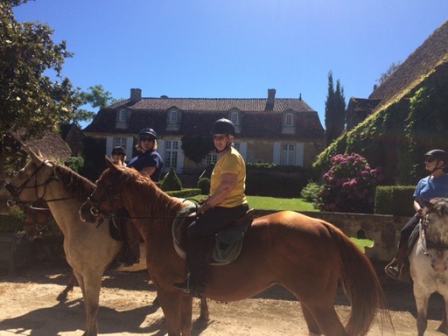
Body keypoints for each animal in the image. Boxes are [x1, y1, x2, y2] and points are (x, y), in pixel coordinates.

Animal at [80, 158, 392, 336]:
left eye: (103, 182)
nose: (85, 209)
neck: (162, 223)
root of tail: (324, 226)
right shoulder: (182, 294)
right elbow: (183, 329)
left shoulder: (168, 292)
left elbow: (174, 328)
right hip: (309, 300)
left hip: (317, 301)